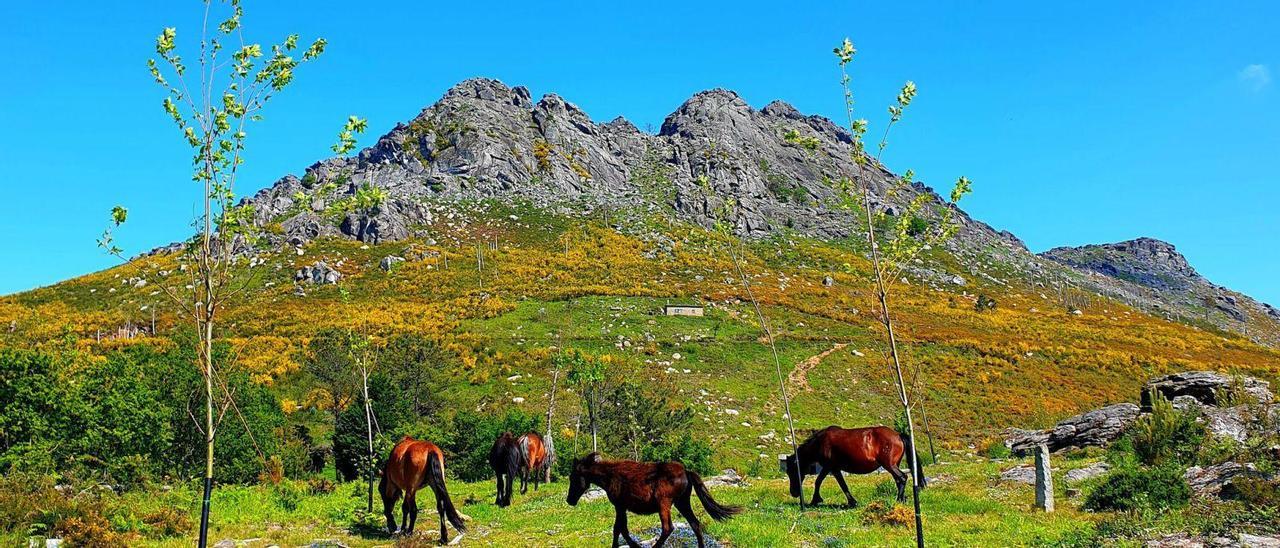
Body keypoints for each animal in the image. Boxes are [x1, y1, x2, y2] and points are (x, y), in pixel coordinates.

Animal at [568, 453, 742, 548]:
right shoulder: (621, 507)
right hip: (682, 503)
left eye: (573, 477)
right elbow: (619, 529)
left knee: (668, 528)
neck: (610, 476)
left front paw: (634, 546)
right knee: (695, 524)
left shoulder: (620, 506)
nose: (570, 500)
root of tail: (686, 471)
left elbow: (620, 529)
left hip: (664, 503)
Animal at [778, 425, 921, 509]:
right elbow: (829, 483)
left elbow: (828, 483)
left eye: (791, 471)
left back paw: (898, 500)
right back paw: (902, 499)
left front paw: (815, 500)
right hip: (893, 465)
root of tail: (898, 435)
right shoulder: (832, 468)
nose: (794, 493)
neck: (820, 442)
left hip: (889, 465)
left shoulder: (831, 467)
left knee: (902, 477)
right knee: (899, 480)